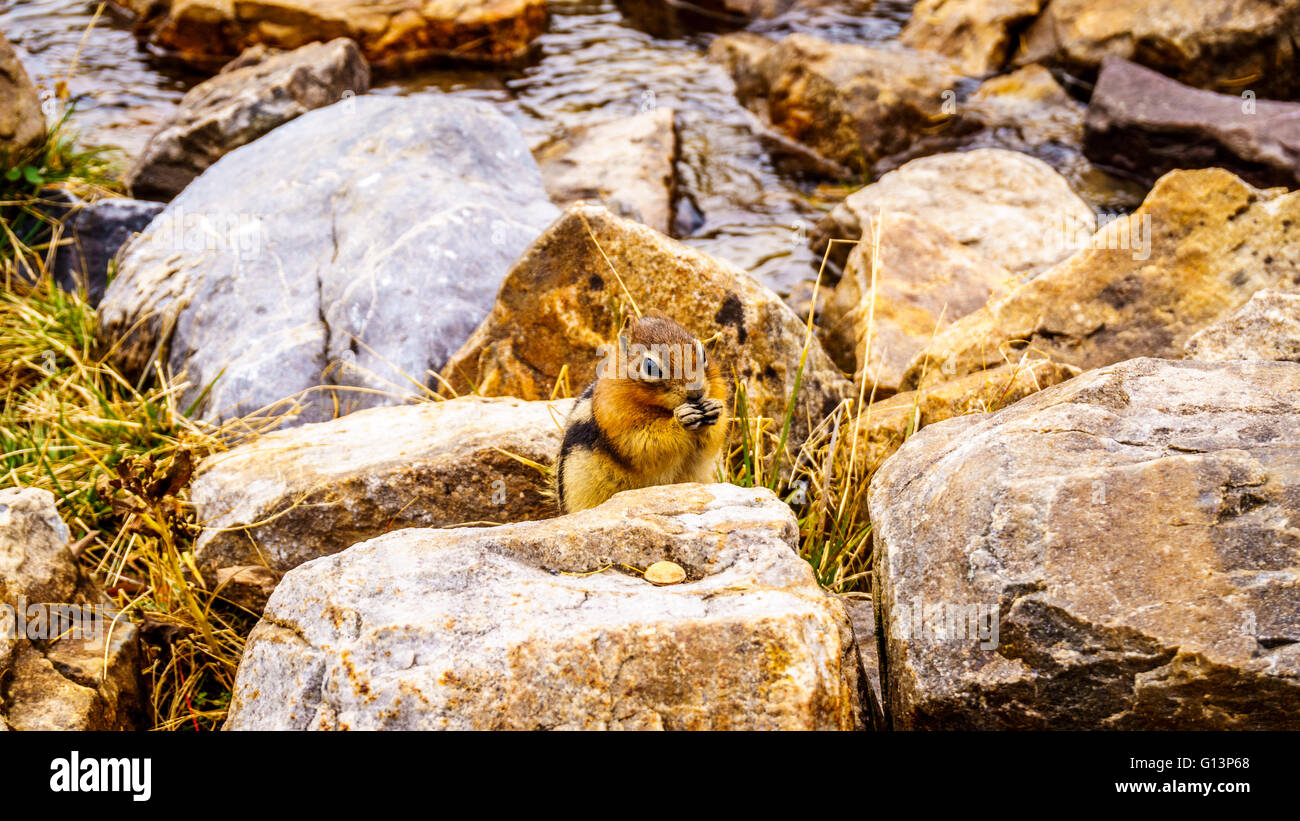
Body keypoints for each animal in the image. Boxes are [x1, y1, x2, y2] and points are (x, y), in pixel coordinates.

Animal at [551, 315, 728, 514]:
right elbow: (644, 445)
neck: (661, 408)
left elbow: (710, 443)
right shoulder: (619, 424)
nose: (697, 393)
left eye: (704, 354)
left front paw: (714, 409)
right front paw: (681, 419)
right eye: (650, 367)